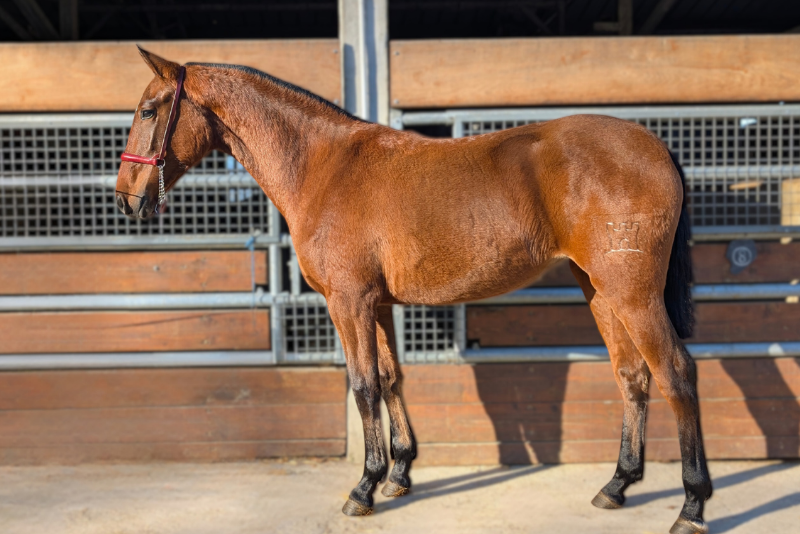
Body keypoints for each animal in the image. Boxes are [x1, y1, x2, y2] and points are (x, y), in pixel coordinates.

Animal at [116, 47, 712, 534]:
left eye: (147, 110)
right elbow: (390, 377)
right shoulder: (375, 304)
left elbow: (362, 386)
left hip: (633, 294)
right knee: (632, 376)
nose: (125, 197)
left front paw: (363, 488)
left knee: (676, 373)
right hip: (600, 290)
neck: (323, 166)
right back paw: (617, 485)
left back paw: (692, 505)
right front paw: (399, 474)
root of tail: (655, 146)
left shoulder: (348, 301)